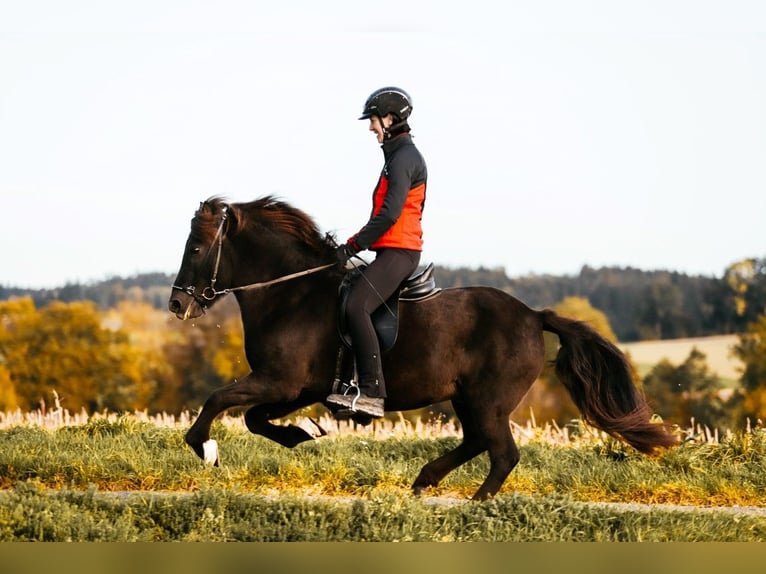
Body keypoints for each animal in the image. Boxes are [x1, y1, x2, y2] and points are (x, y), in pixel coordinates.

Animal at [170, 196, 680, 502]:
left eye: (195, 248)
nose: (177, 303)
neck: (290, 294)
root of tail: (533, 315)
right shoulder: (294, 389)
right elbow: (255, 418)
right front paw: (302, 433)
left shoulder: (280, 381)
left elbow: (218, 400)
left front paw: (205, 448)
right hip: (468, 398)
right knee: (477, 442)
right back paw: (424, 481)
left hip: (488, 400)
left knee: (502, 453)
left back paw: (474, 503)